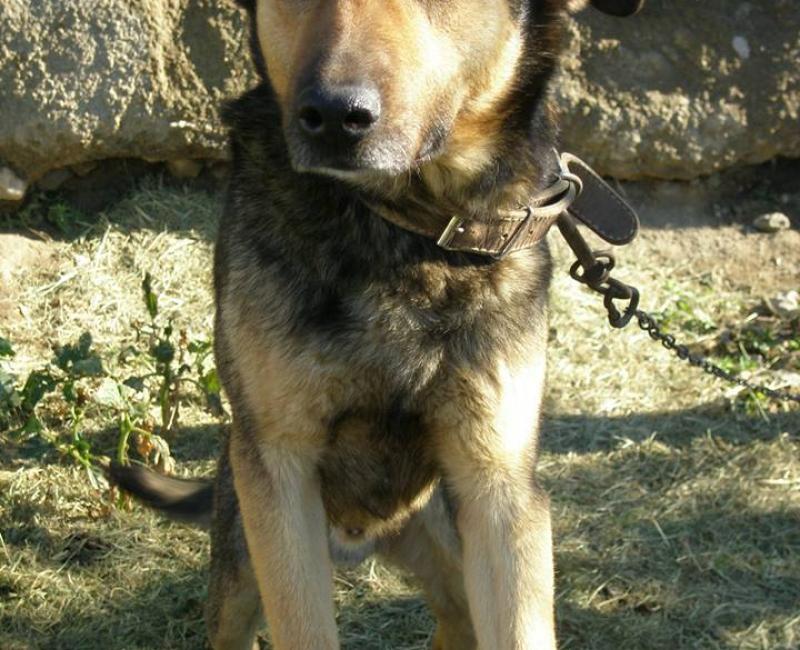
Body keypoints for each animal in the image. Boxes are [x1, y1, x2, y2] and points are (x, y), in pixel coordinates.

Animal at [110, 1, 644, 648]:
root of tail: (360, 535)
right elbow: (303, 625)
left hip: (444, 538)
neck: (407, 230)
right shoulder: (279, 473)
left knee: (457, 618)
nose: (334, 119)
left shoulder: (500, 490)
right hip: (240, 560)